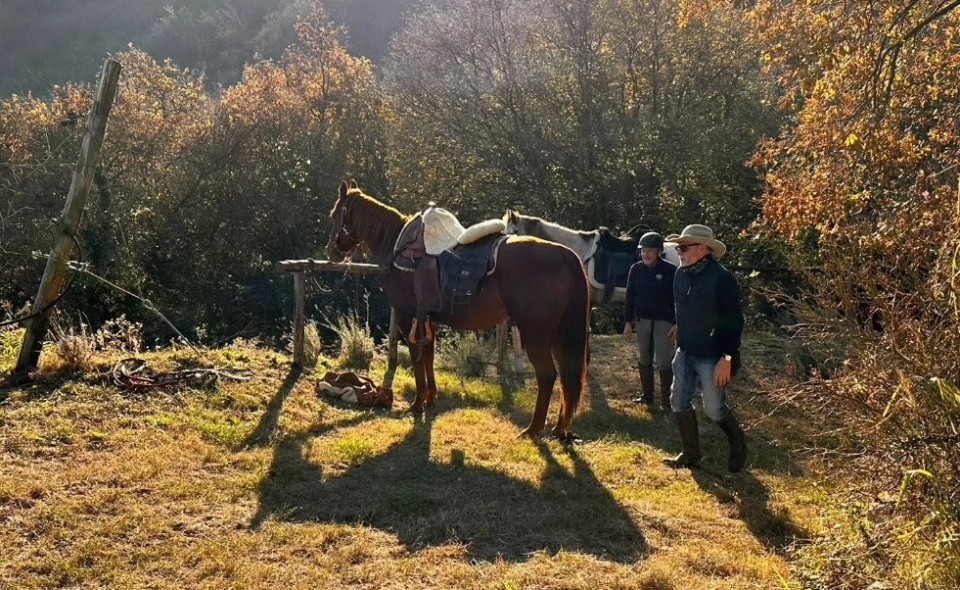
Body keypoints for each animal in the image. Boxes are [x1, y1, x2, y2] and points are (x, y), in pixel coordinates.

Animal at [326, 181, 590, 440]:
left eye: (334, 215)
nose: (332, 252)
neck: (395, 246)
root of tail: (565, 255)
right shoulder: (427, 318)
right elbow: (429, 356)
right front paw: (430, 399)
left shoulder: (406, 316)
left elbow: (416, 357)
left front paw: (417, 403)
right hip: (558, 334)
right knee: (567, 375)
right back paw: (560, 428)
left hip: (536, 333)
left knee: (547, 376)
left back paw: (533, 428)